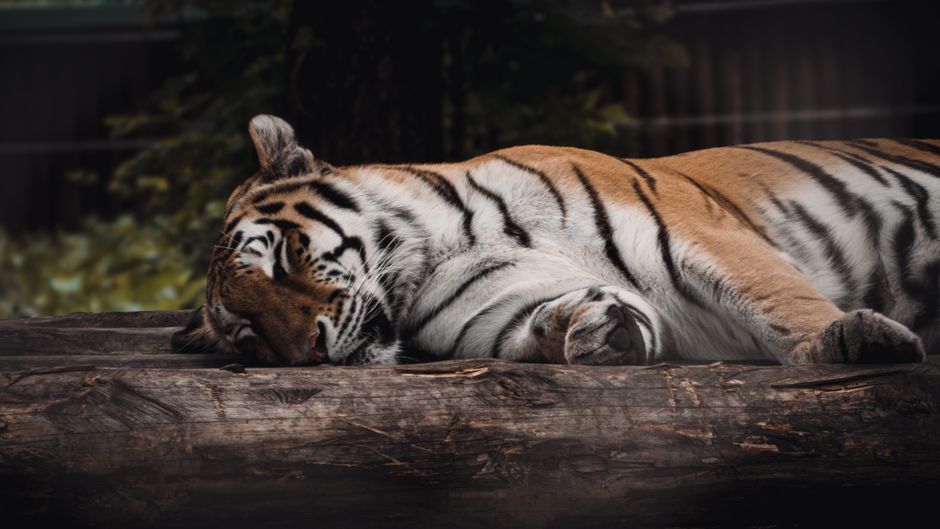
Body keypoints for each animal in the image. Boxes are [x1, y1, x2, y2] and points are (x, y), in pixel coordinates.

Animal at [172, 114, 938, 367]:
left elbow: (779, 300)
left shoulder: (702, 235)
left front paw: (848, 340)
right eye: (247, 332)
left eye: (278, 259)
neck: (437, 253)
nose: (309, 350)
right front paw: (588, 326)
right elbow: (539, 324)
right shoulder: (496, 311)